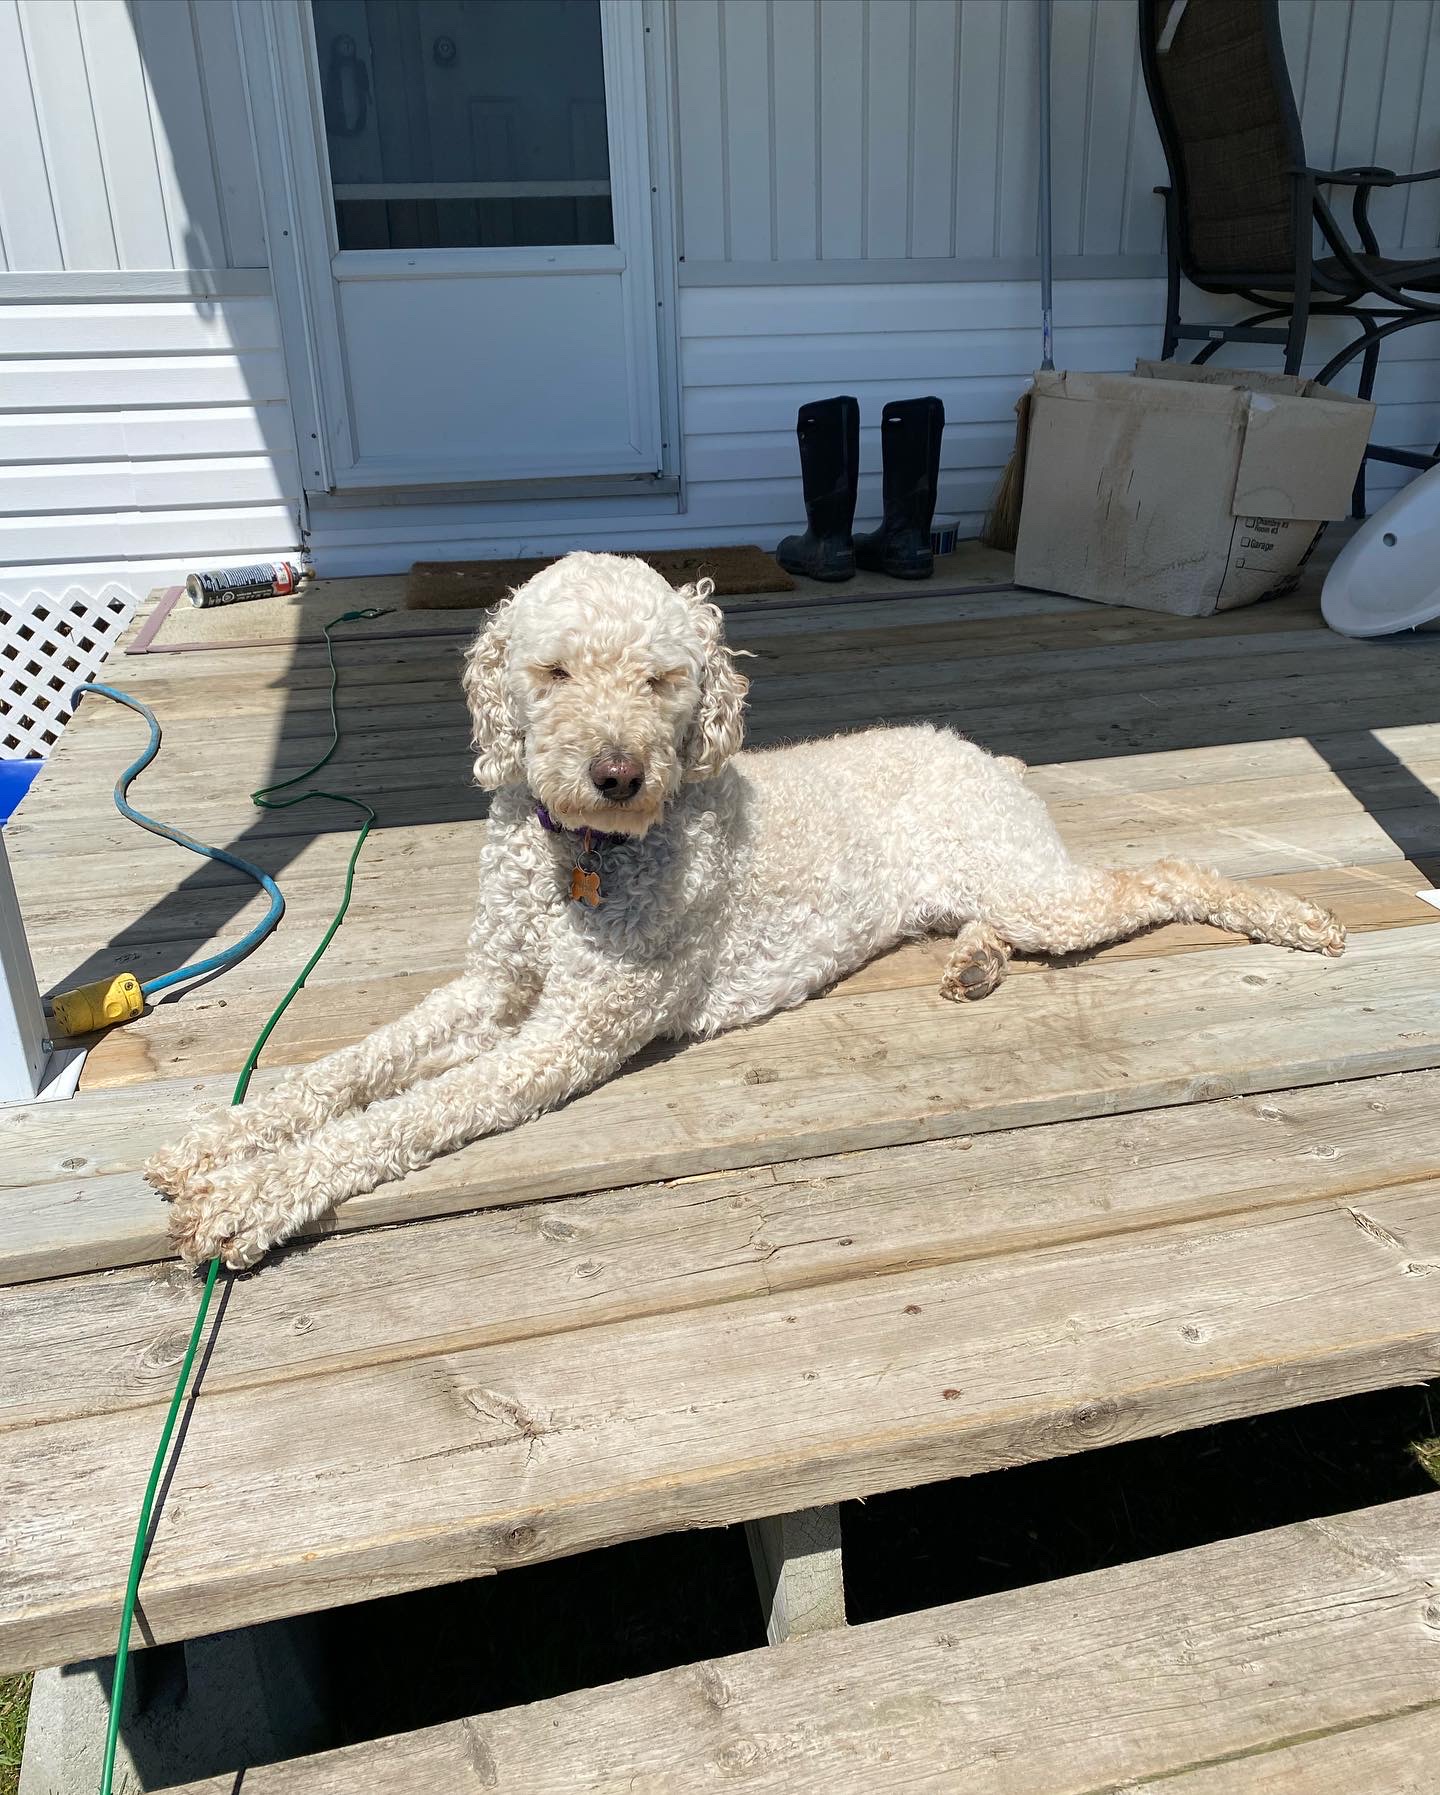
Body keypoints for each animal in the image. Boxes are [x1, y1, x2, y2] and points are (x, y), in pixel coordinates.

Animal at [151, 551, 1345, 1268]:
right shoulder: (495, 984)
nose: (618, 774)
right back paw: (973, 964)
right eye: (554, 670)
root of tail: (981, 750)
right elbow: (347, 1070)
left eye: (664, 679)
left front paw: (250, 1195)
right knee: (1005, 918)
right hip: (977, 886)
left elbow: (404, 1114)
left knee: (1162, 875)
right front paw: (217, 1140)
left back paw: (1293, 916)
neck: (580, 859)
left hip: (1030, 882)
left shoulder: (568, 1031)